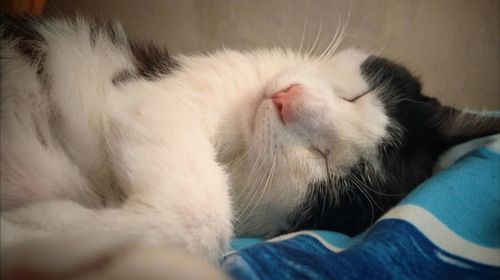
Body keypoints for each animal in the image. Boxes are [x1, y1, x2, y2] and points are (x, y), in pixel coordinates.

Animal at [0, 17, 500, 278]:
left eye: (324, 163)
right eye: (356, 96)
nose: (286, 101)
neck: (235, 145)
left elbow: (201, 217)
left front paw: (34, 234)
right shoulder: (158, 89)